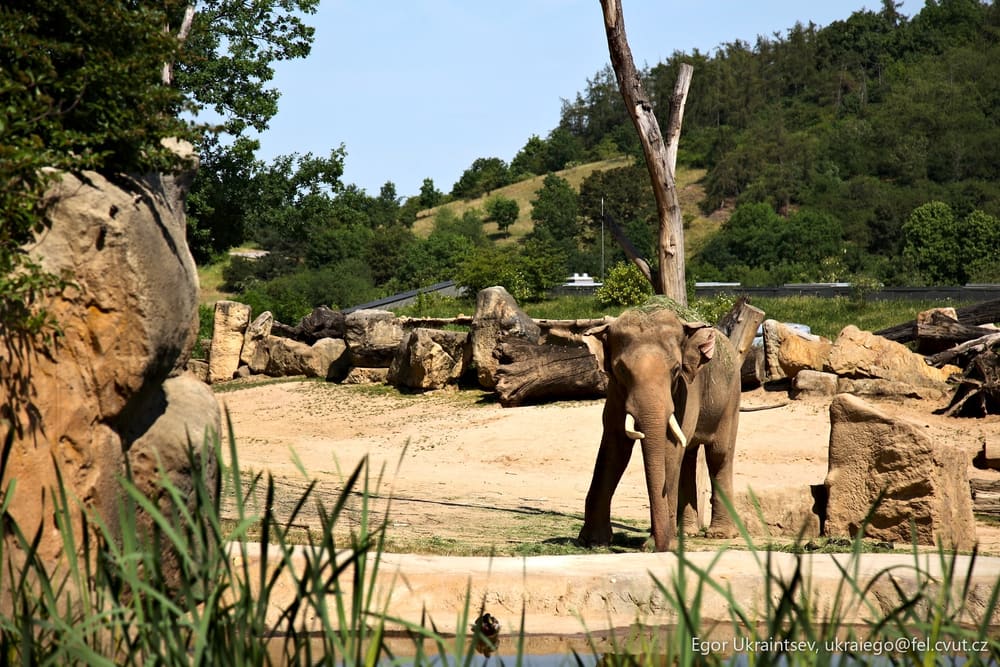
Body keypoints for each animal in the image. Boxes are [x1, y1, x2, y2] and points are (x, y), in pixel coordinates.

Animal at [577, 306, 741, 552]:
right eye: (621, 370)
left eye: (675, 370)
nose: (661, 547)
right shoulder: (615, 392)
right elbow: (614, 447)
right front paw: (593, 542)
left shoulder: (686, 389)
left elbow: (669, 448)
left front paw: (658, 545)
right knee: (688, 455)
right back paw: (687, 532)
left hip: (731, 397)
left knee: (718, 454)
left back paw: (719, 534)